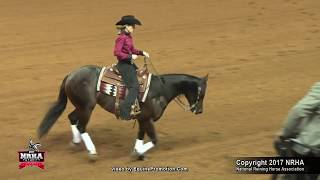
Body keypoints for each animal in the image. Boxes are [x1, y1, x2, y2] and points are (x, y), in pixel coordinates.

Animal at [38, 64, 208, 160]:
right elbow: (154, 139)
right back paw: (92, 152)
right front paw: (137, 153)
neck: (160, 89)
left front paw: (138, 152)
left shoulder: (142, 119)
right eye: (201, 94)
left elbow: (140, 137)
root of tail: (71, 75)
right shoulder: (147, 119)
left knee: (72, 117)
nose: (199, 111)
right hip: (87, 107)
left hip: (81, 106)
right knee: (81, 126)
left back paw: (75, 142)